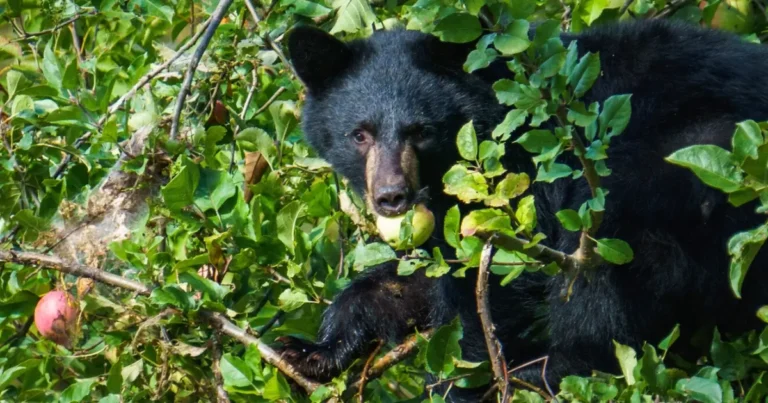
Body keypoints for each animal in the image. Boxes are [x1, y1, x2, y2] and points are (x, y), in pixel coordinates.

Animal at [280, 19, 768, 400]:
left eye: (421, 131)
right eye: (359, 134)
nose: (391, 196)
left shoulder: (521, 171)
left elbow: (500, 279)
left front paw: (462, 380)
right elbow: (424, 273)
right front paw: (311, 350)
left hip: (690, 159)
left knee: (607, 266)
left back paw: (551, 369)